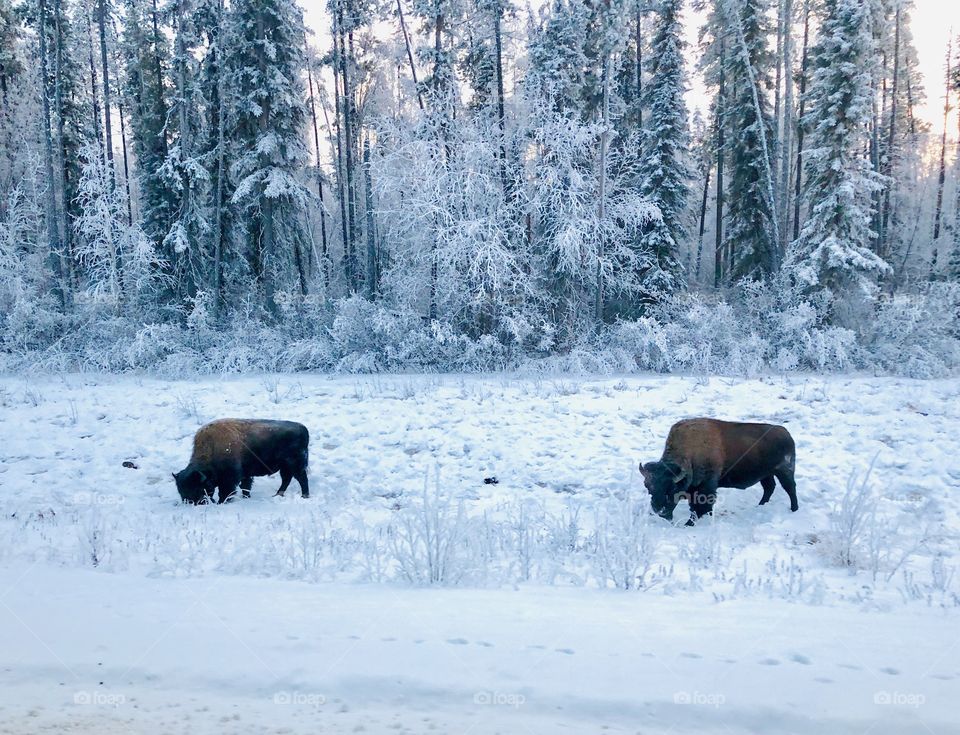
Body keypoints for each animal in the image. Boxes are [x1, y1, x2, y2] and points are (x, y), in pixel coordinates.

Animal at [172, 420, 308, 506]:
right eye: (180, 490)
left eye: (197, 489)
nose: (191, 503)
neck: (212, 448)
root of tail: (303, 428)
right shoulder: (245, 475)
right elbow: (245, 487)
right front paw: (246, 497)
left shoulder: (230, 479)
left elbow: (226, 492)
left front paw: (222, 502)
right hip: (285, 467)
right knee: (287, 479)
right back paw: (277, 495)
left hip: (294, 465)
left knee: (301, 479)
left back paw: (304, 496)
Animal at [640, 416, 800, 528]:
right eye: (648, 487)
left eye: (672, 488)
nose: (660, 511)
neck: (690, 455)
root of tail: (787, 434)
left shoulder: (706, 487)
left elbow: (700, 507)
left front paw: (689, 523)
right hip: (766, 474)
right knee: (769, 488)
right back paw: (760, 505)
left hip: (784, 471)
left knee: (790, 488)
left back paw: (794, 509)